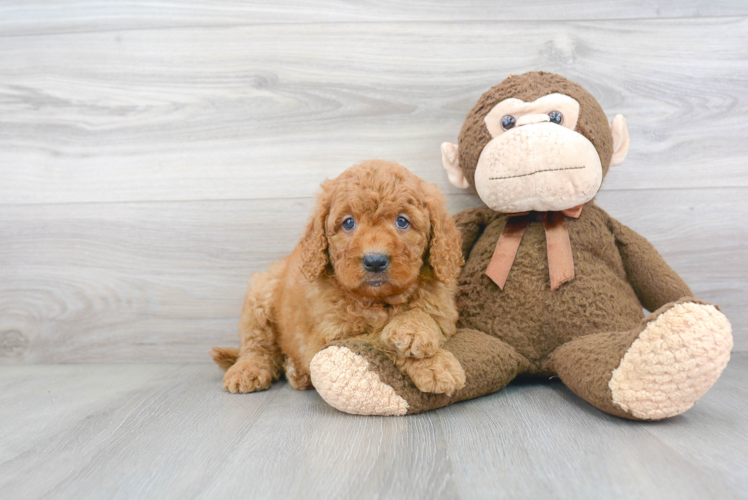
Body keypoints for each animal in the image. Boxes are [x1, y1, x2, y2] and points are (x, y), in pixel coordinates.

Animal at [212, 160, 468, 394]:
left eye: (402, 221)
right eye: (348, 222)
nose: (375, 261)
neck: (378, 301)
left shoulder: (443, 314)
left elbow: (427, 318)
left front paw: (415, 331)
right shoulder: (333, 337)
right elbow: (374, 339)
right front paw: (436, 364)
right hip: (261, 293)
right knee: (257, 345)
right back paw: (249, 369)